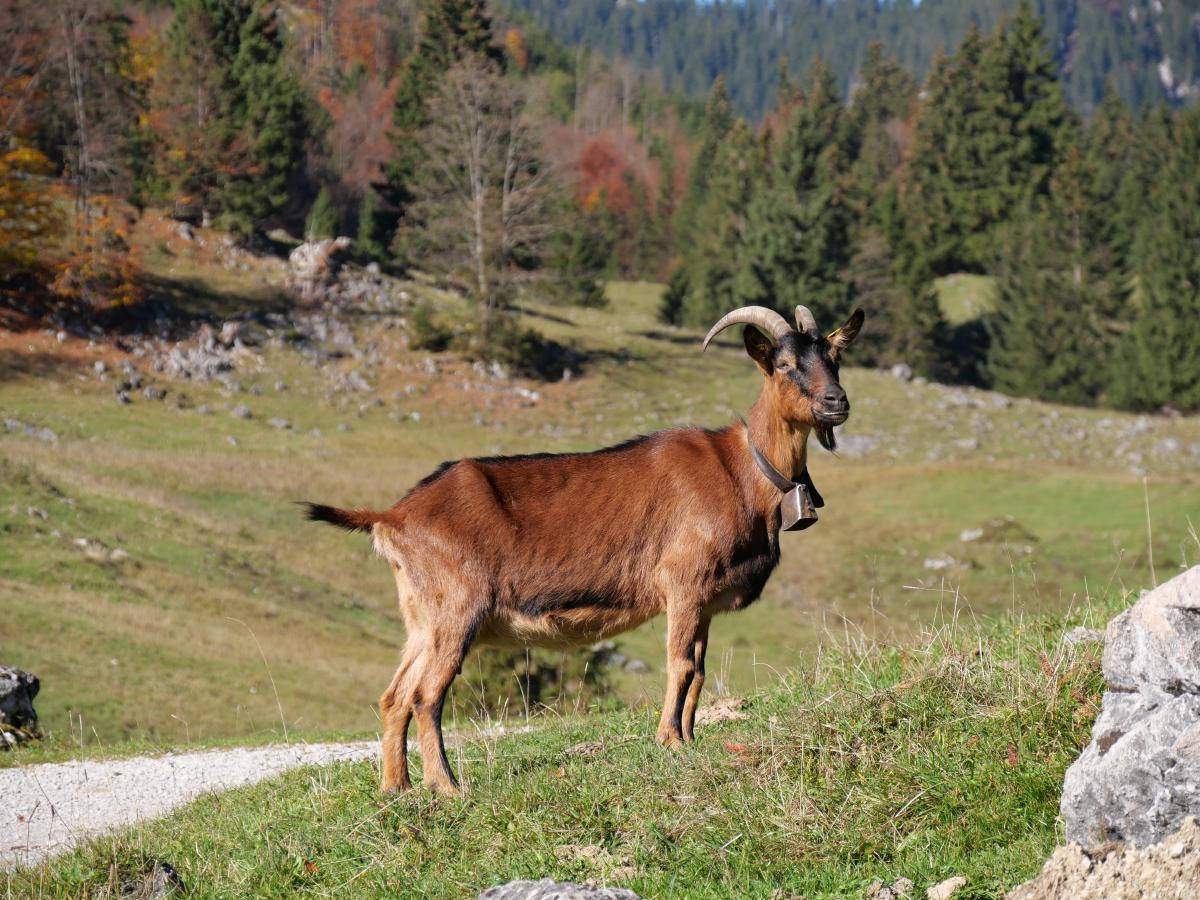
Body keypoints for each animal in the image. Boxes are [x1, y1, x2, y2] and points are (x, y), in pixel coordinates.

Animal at [306, 304, 864, 794]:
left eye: (834, 357)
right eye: (785, 364)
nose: (837, 402)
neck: (743, 471)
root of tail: (392, 516)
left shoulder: (704, 601)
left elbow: (700, 670)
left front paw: (689, 738)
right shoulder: (683, 582)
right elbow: (680, 664)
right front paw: (669, 741)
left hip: (422, 616)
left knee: (394, 696)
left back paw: (396, 787)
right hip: (457, 609)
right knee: (426, 695)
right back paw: (445, 786)